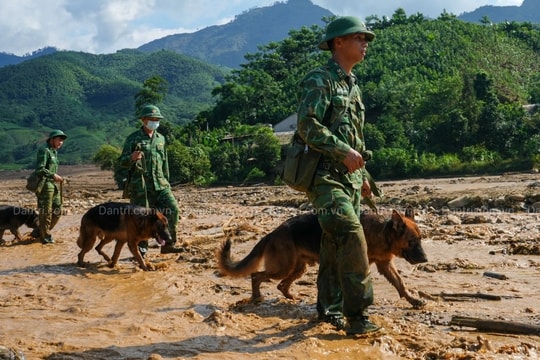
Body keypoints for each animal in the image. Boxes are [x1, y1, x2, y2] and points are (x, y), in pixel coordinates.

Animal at [217, 208, 428, 306]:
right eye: (412, 242)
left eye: (421, 239)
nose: (425, 260)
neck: (381, 232)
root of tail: (272, 233)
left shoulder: (385, 265)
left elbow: (401, 284)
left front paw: (413, 300)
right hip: (282, 268)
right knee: (256, 276)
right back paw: (256, 297)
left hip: (298, 268)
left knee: (281, 285)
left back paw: (291, 297)